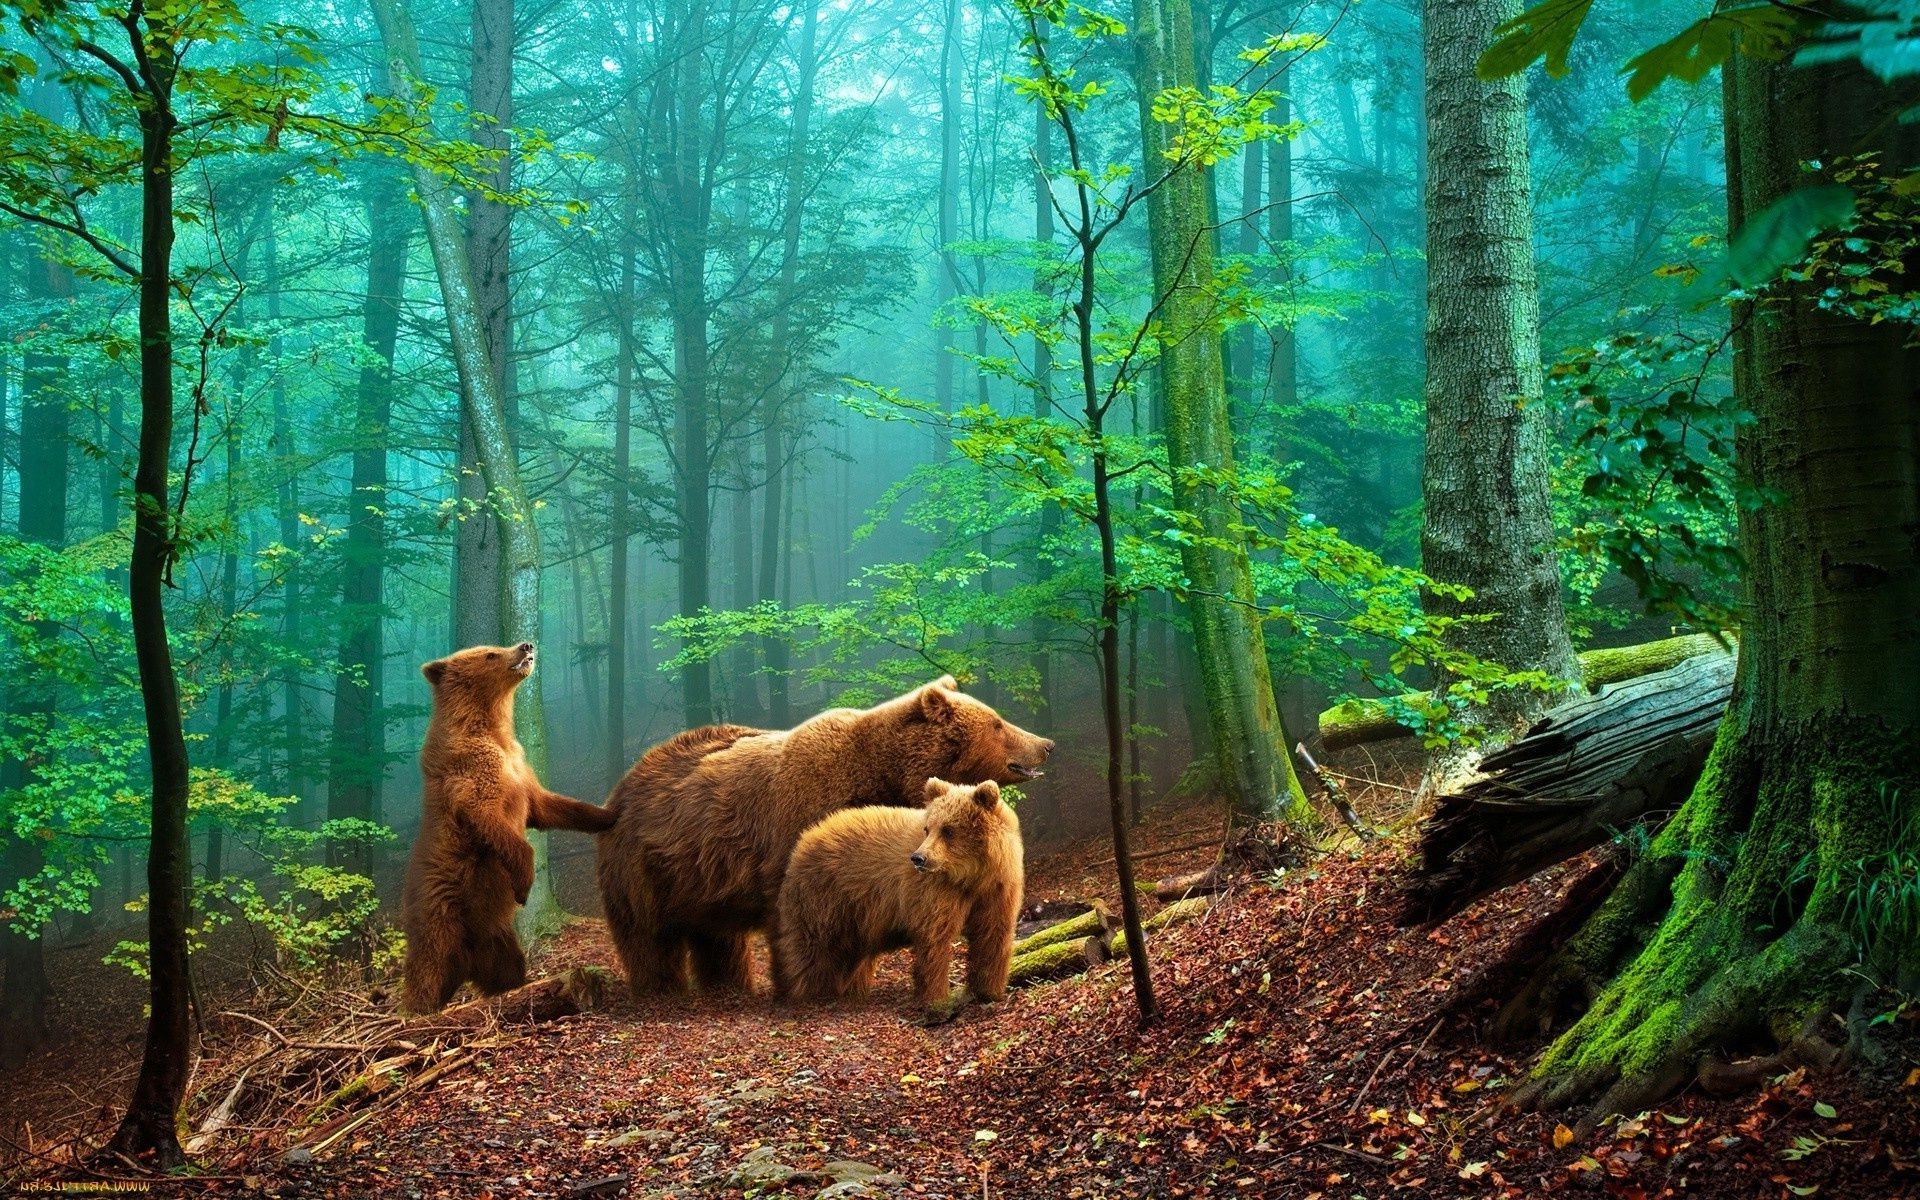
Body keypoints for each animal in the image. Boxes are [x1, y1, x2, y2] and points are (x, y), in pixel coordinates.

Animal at [401, 645, 618, 1013]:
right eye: (490, 653)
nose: (526, 646)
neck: (492, 731)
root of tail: (466, 963)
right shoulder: (472, 774)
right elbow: (491, 820)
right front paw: (524, 884)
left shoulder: (520, 769)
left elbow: (549, 806)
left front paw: (609, 812)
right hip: (439, 917)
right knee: (427, 969)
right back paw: (418, 1009)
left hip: (497, 939)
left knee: (507, 968)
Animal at [771, 775, 1029, 1013]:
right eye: (928, 828)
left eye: (948, 830)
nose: (918, 858)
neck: (971, 875)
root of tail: (806, 836)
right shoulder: (935, 892)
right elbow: (934, 939)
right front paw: (937, 1000)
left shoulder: (998, 889)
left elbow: (993, 934)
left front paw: (989, 991)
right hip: (824, 898)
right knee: (811, 947)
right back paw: (807, 993)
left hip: (856, 916)